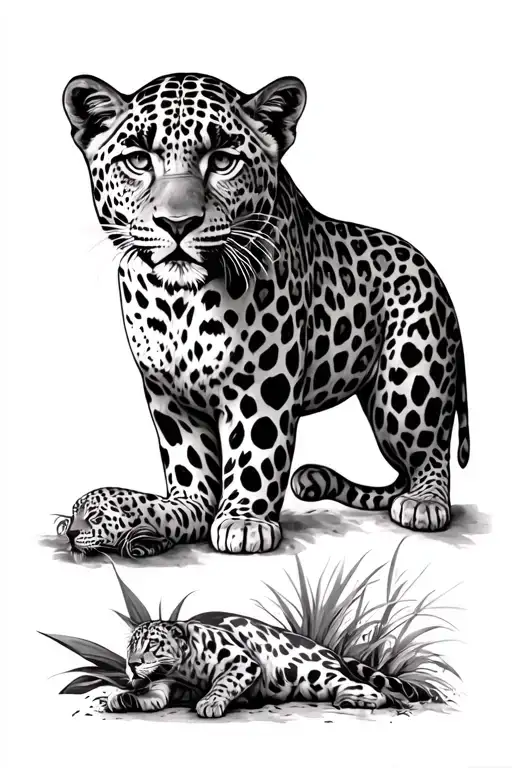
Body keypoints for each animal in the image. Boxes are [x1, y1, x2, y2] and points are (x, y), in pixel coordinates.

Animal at [60, 71, 470, 558]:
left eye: (222, 160)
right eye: (139, 160)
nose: (177, 224)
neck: (178, 302)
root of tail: (432, 270)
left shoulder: (262, 380)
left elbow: (257, 447)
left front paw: (244, 521)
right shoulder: (167, 392)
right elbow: (187, 459)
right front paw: (185, 510)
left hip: (408, 381)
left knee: (429, 450)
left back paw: (424, 503)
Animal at [102, 612, 444, 717]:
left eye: (152, 645)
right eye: (130, 647)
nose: (131, 665)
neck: (184, 671)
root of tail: (332, 652)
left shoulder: (242, 660)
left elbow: (223, 682)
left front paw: (211, 702)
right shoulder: (169, 684)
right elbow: (154, 692)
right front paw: (124, 697)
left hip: (315, 675)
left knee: (374, 692)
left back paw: (352, 699)